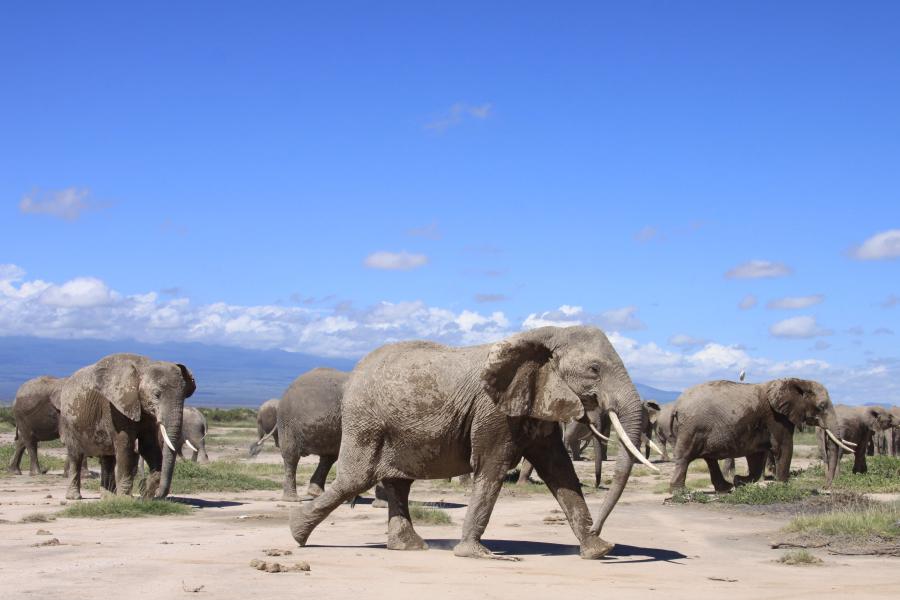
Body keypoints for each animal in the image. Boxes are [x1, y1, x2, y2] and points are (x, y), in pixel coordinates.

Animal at [58, 354, 197, 500]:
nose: (158, 495)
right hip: (68, 421)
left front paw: (146, 492)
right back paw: (74, 497)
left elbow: (149, 447)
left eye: (184, 397)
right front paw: (125, 498)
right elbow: (125, 446)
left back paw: (108, 498)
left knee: (107, 458)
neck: (145, 366)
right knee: (76, 456)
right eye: (156, 394)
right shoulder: (114, 407)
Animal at [672, 380, 848, 492]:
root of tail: (677, 405)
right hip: (692, 427)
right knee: (685, 456)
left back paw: (727, 487)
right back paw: (679, 492)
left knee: (710, 459)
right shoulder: (777, 418)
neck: (796, 381)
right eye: (822, 406)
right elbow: (783, 448)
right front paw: (782, 486)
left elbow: (757, 455)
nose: (824, 487)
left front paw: (740, 481)